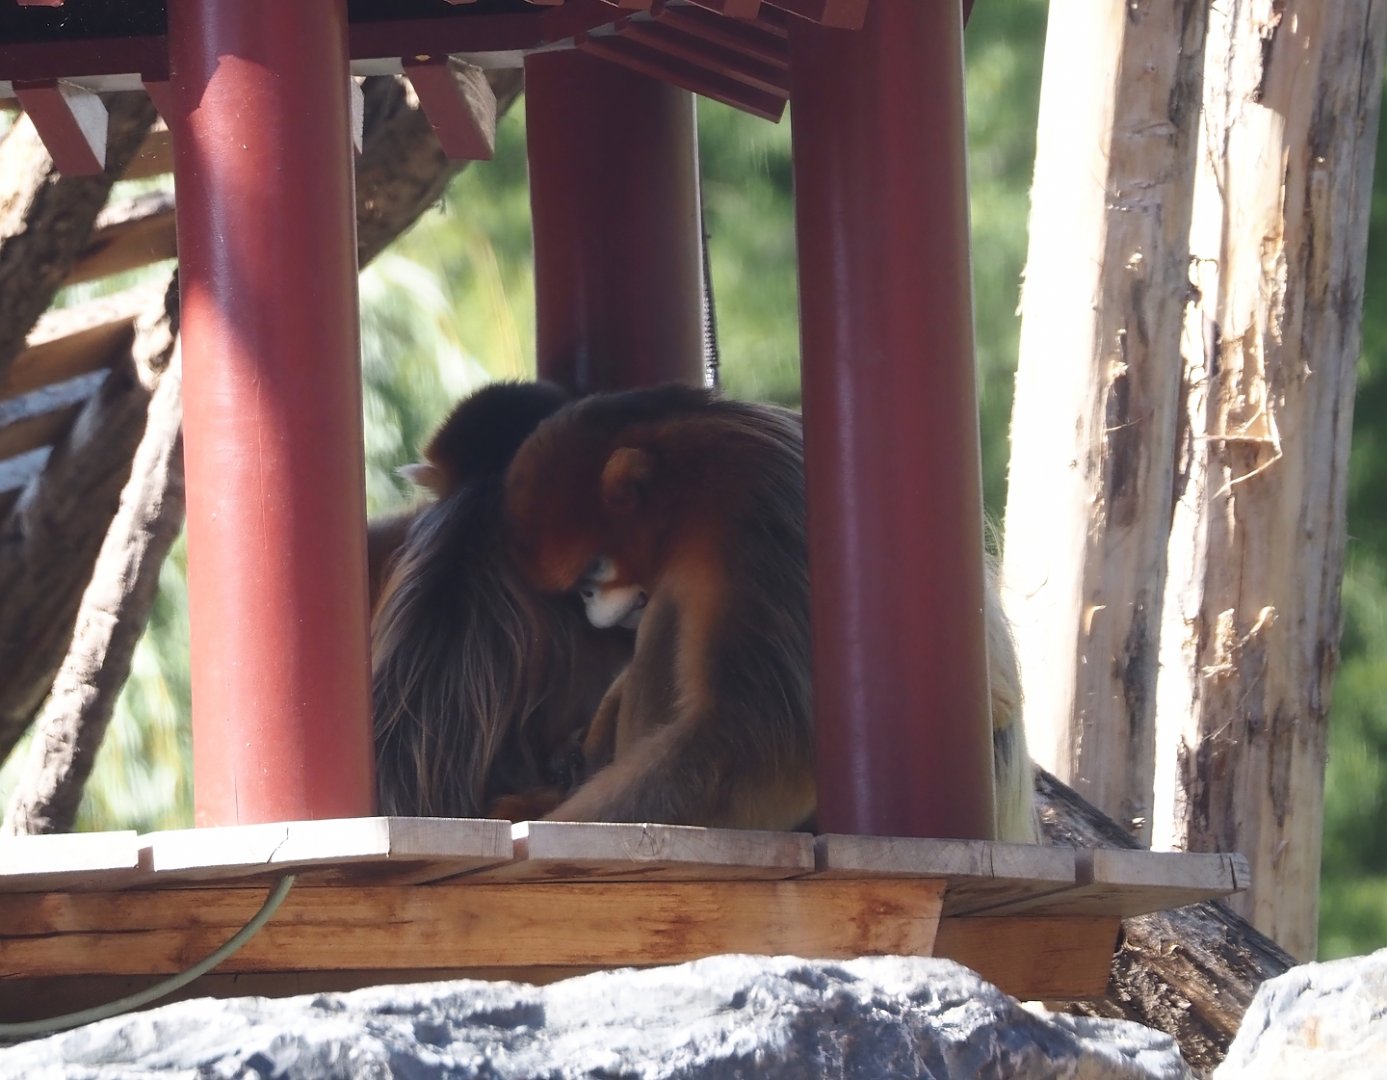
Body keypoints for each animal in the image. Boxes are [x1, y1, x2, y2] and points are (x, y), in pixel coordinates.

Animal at [504, 383, 1040, 842]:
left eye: (593, 572)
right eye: (580, 589)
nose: (589, 602)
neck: (693, 484)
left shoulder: (751, 519)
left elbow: (759, 745)